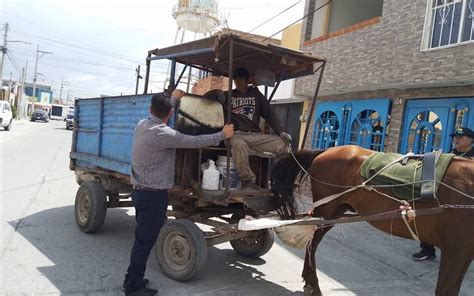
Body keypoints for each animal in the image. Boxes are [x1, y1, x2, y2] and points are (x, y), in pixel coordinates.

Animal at [270, 146, 474, 296]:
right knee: (312, 244)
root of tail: (327, 150)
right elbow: (446, 289)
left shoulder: (463, 253)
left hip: (335, 212)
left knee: (313, 242)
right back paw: (313, 284)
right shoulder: (455, 250)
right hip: (326, 211)